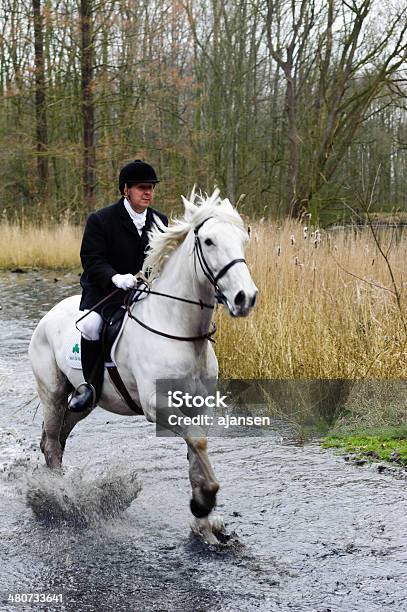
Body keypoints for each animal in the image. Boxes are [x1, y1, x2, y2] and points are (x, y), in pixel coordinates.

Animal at [28, 190, 258, 540]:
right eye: (208, 241)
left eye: (243, 240)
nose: (245, 298)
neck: (180, 330)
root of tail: (48, 316)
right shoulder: (156, 405)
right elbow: (198, 442)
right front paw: (205, 500)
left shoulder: (199, 406)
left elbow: (196, 450)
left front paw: (203, 521)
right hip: (52, 393)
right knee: (52, 442)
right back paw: (60, 499)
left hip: (83, 402)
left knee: (60, 438)